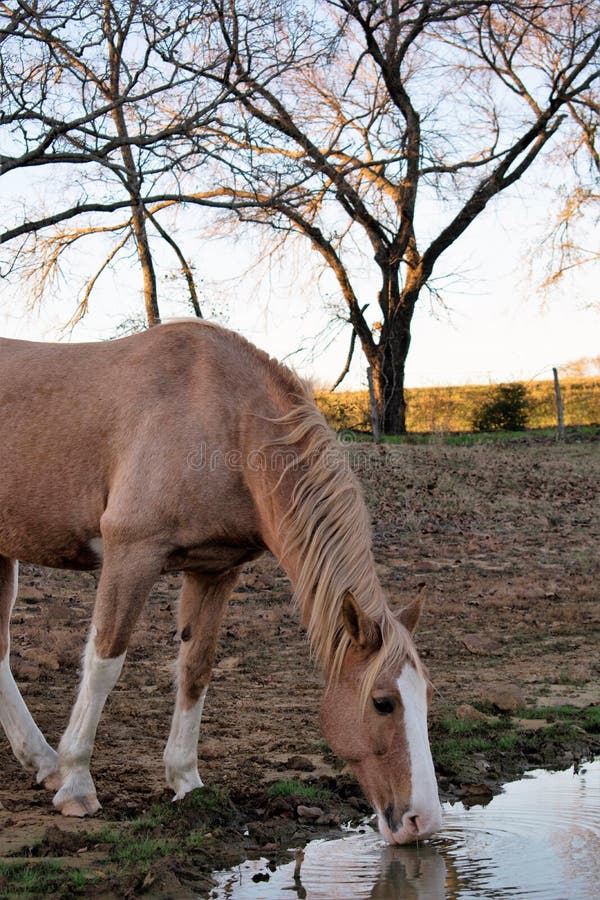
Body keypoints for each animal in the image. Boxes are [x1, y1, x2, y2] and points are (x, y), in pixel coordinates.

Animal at [0, 319, 442, 843]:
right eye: (382, 703)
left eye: (426, 697)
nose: (424, 821)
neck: (222, 417)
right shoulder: (131, 555)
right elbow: (105, 664)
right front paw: (77, 785)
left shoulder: (216, 570)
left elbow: (197, 668)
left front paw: (186, 782)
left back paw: (41, 761)